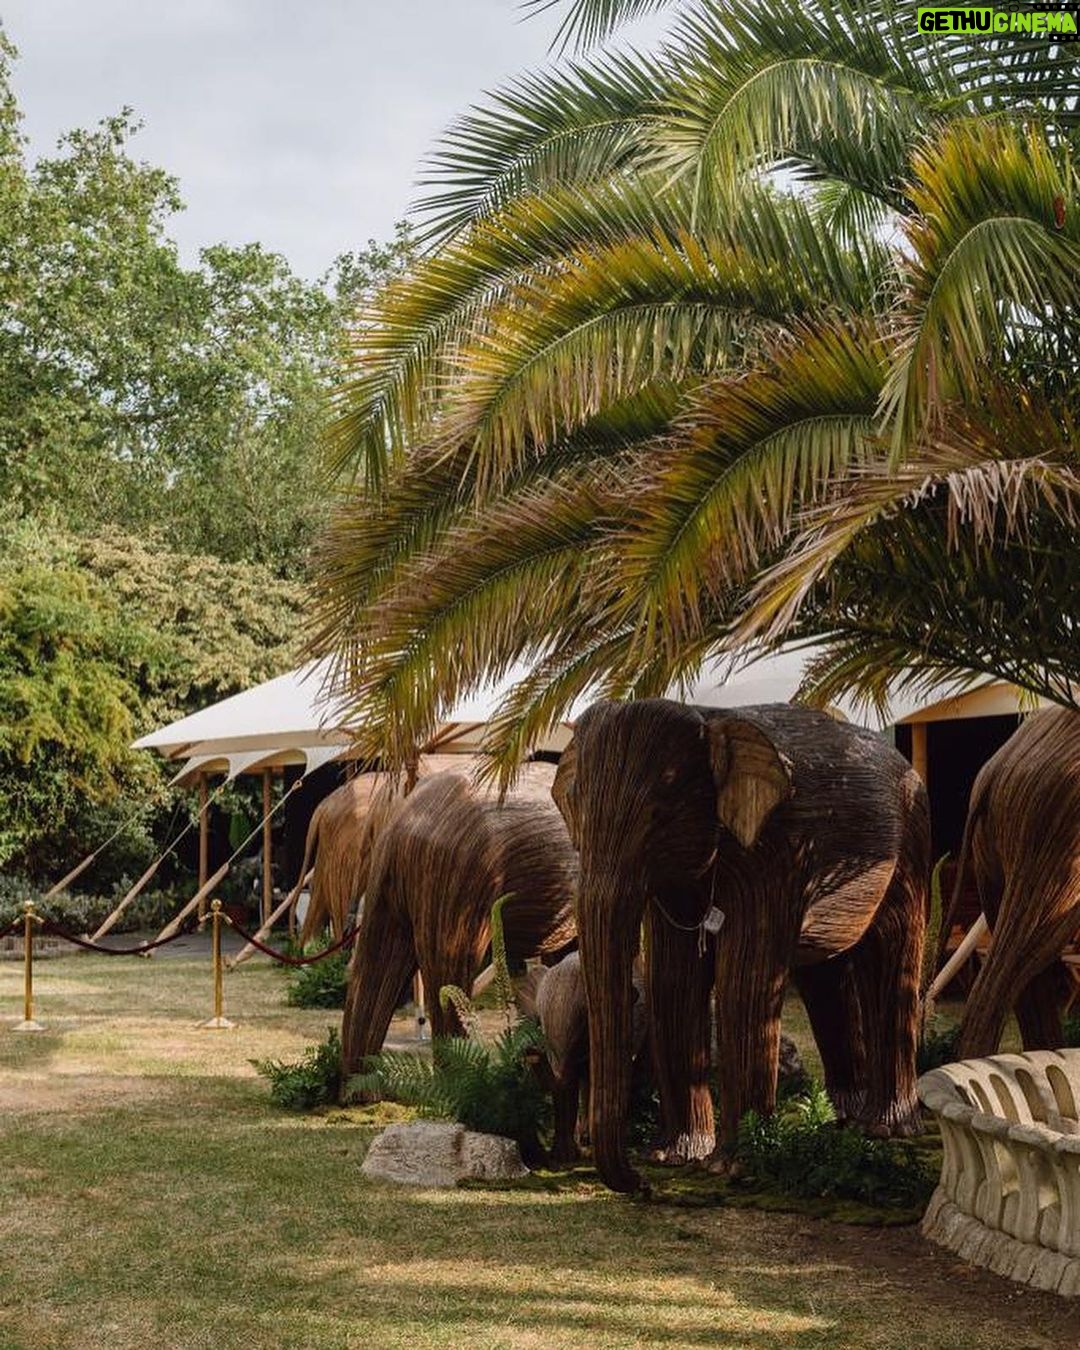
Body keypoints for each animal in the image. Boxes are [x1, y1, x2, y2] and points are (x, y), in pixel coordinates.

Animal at [553, 697, 930, 1193]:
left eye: (658, 814)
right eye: (575, 808)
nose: (643, 1184)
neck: (710, 716)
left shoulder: (775, 852)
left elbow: (742, 983)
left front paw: (731, 1167)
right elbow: (673, 983)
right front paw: (673, 1157)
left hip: (909, 847)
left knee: (889, 953)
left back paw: (884, 1128)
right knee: (826, 978)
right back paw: (843, 1120)